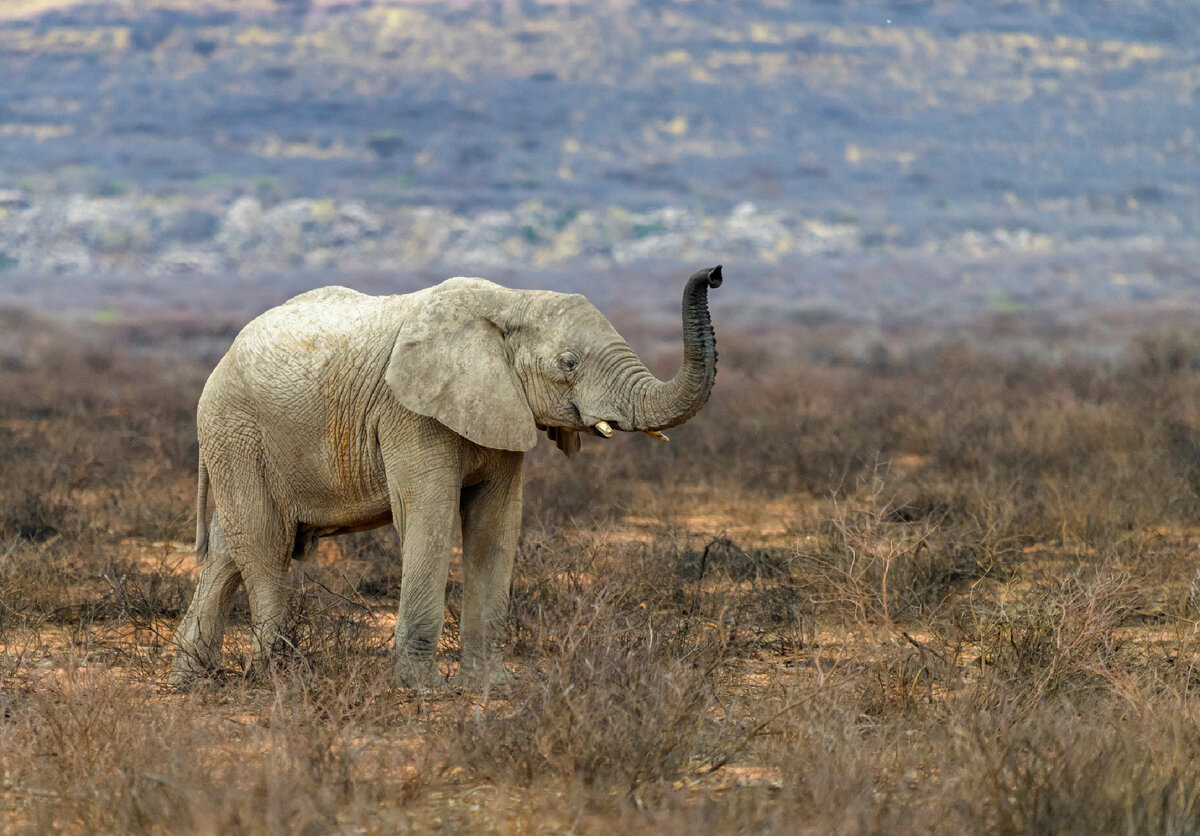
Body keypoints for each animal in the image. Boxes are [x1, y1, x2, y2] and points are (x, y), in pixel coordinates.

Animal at [169, 263, 720, 686]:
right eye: (569, 363)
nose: (714, 274)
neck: (511, 302)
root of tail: (219, 363)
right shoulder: (408, 412)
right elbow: (427, 516)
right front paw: (420, 688)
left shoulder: (500, 407)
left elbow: (496, 525)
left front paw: (492, 685)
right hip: (235, 430)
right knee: (266, 543)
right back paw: (273, 676)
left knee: (228, 550)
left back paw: (191, 682)